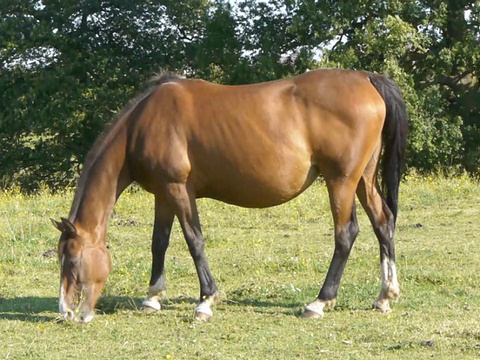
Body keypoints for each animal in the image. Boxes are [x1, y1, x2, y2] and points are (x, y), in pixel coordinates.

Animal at [50, 69, 406, 322]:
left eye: (72, 259)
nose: (67, 312)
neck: (142, 124)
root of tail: (366, 79)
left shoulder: (179, 190)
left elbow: (194, 240)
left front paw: (205, 301)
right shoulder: (163, 194)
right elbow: (159, 242)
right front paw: (152, 297)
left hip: (341, 181)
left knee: (346, 233)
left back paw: (319, 301)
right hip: (363, 179)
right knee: (383, 223)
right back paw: (384, 296)